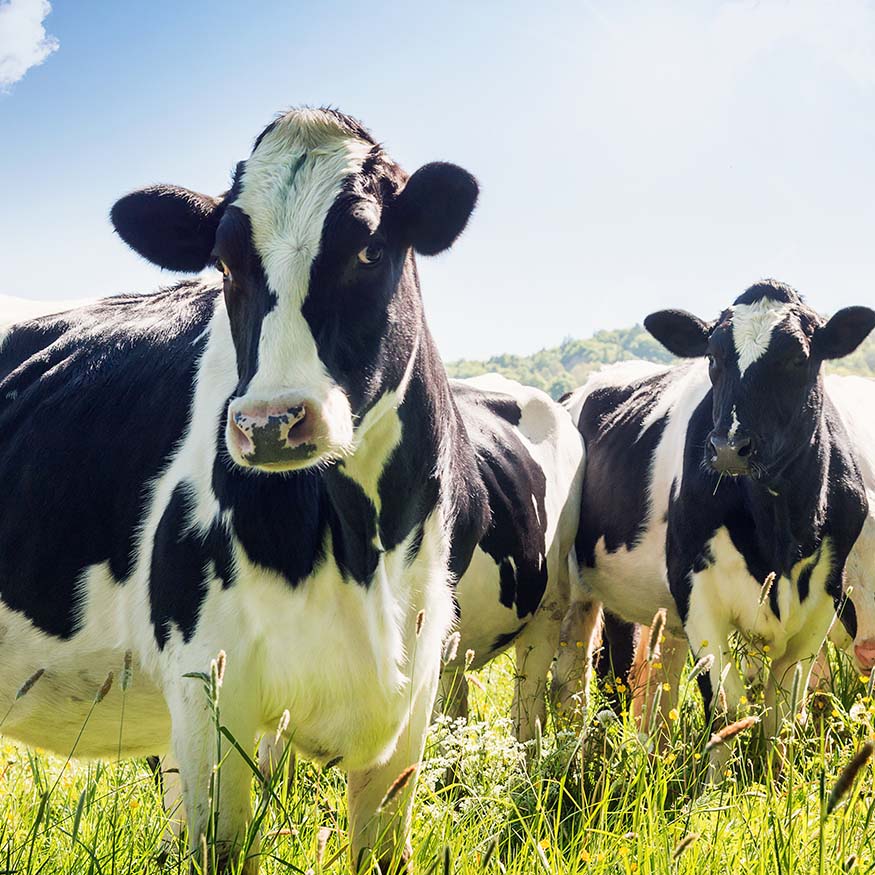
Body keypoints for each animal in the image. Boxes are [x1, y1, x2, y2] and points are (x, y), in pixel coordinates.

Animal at [0, 107, 571, 874]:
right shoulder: (209, 687)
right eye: (224, 263)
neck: (364, 548)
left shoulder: (415, 687)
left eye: (369, 249)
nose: (269, 421)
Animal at [562, 280, 875, 772]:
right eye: (713, 357)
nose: (728, 447)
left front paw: (775, 779)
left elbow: (784, 713)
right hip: (579, 594)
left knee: (646, 679)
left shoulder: (823, 600)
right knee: (584, 677)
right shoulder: (697, 592)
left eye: (798, 357)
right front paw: (715, 787)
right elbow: (727, 709)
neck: (778, 533)